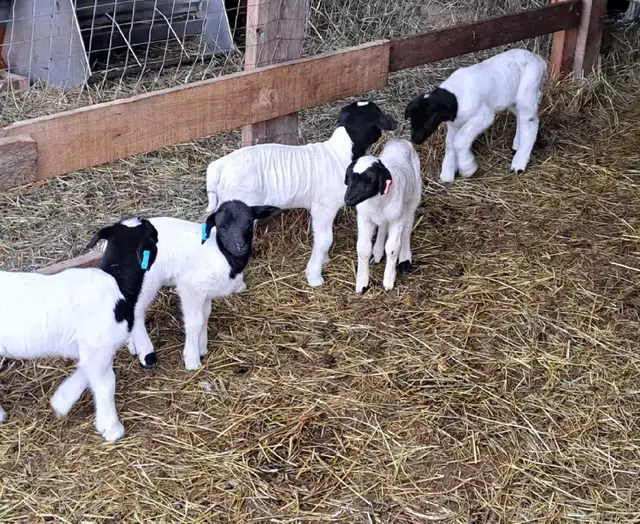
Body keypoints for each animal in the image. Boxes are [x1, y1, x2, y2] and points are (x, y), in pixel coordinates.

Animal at [0, 217, 159, 441]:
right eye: (151, 232)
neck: (117, 282)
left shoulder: (90, 349)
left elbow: (84, 373)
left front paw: (61, 402)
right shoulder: (99, 347)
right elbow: (106, 384)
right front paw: (112, 429)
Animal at [123, 200, 281, 371]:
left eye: (249, 224)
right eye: (221, 226)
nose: (239, 245)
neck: (221, 253)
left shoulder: (205, 292)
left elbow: (205, 316)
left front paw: (202, 347)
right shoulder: (190, 288)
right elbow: (195, 323)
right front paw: (192, 359)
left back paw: (133, 345)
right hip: (146, 282)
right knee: (137, 311)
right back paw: (146, 354)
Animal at [205, 100, 397, 288]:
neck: (339, 153)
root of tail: (218, 167)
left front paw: (324, 260)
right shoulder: (324, 208)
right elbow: (325, 239)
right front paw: (314, 276)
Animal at [344, 139, 422, 294]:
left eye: (369, 181)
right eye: (349, 178)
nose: (348, 199)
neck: (377, 202)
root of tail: (400, 140)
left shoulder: (397, 219)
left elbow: (392, 248)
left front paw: (388, 281)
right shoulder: (364, 218)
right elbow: (363, 248)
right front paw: (362, 284)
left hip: (413, 198)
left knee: (407, 228)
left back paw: (405, 259)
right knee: (383, 226)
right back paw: (377, 254)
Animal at [404, 48, 547, 183]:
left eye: (428, 122)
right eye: (411, 120)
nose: (414, 140)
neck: (455, 99)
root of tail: (538, 59)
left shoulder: (484, 116)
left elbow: (460, 140)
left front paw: (468, 168)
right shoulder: (455, 124)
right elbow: (450, 143)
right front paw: (448, 173)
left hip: (528, 92)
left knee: (530, 122)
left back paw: (519, 164)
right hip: (512, 98)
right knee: (521, 118)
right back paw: (516, 145)